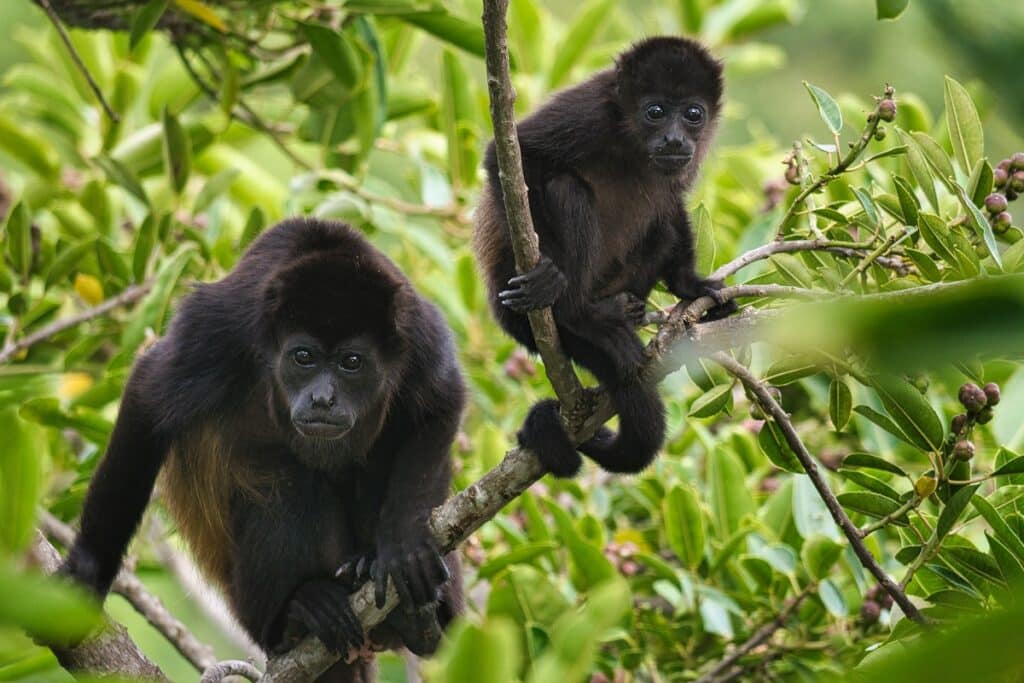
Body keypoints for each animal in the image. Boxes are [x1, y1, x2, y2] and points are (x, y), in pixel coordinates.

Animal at [60, 219, 468, 683]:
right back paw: (300, 613)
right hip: (248, 606)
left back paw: (419, 619)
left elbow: (440, 403)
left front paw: (403, 543)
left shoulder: (419, 334)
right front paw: (86, 572)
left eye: (352, 362)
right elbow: (148, 392)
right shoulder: (219, 328)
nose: (323, 399)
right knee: (285, 481)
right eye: (303, 357)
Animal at [475, 34, 733, 479]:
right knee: (567, 189)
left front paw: (691, 285)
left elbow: (673, 203)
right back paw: (581, 315)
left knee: (662, 224)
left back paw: (625, 307)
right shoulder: (590, 110)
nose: (675, 139)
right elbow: (510, 155)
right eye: (655, 112)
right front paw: (550, 278)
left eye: (693, 114)